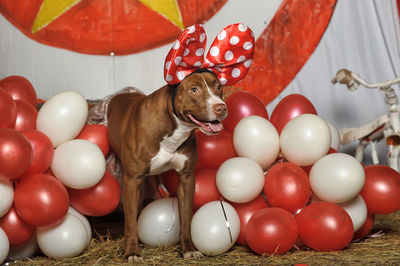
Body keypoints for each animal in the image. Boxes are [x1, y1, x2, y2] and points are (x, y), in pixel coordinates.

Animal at [107, 69, 228, 260]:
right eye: (194, 90)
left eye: (219, 87)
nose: (221, 108)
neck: (175, 127)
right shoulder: (132, 180)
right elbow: (131, 222)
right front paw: (132, 251)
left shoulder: (187, 179)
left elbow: (185, 219)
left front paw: (188, 249)